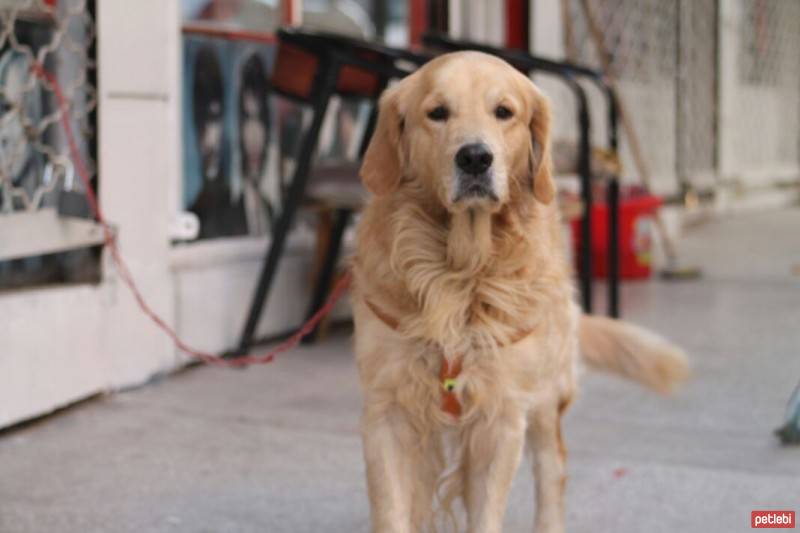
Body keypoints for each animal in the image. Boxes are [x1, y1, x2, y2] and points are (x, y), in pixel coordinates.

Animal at [350, 51, 688, 532]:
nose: (475, 158)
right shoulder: (387, 411)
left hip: (545, 397)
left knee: (553, 467)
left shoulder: (503, 414)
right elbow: (395, 511)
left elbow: (488, 512)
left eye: (504, 112)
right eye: (437, 112)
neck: (460, 274)